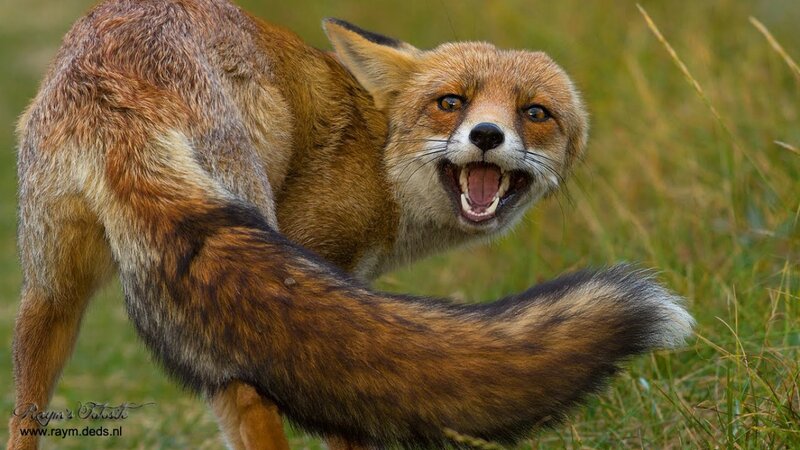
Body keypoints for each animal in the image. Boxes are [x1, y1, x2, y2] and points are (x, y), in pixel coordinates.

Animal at [8, 0, 694, 449]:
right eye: (451, 103)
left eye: (535, 112)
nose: (487, 135)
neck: (378, 151)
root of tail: (115, 86)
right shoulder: (322, 260)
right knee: (252, 395)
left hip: (50, 294)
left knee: (24, 409)